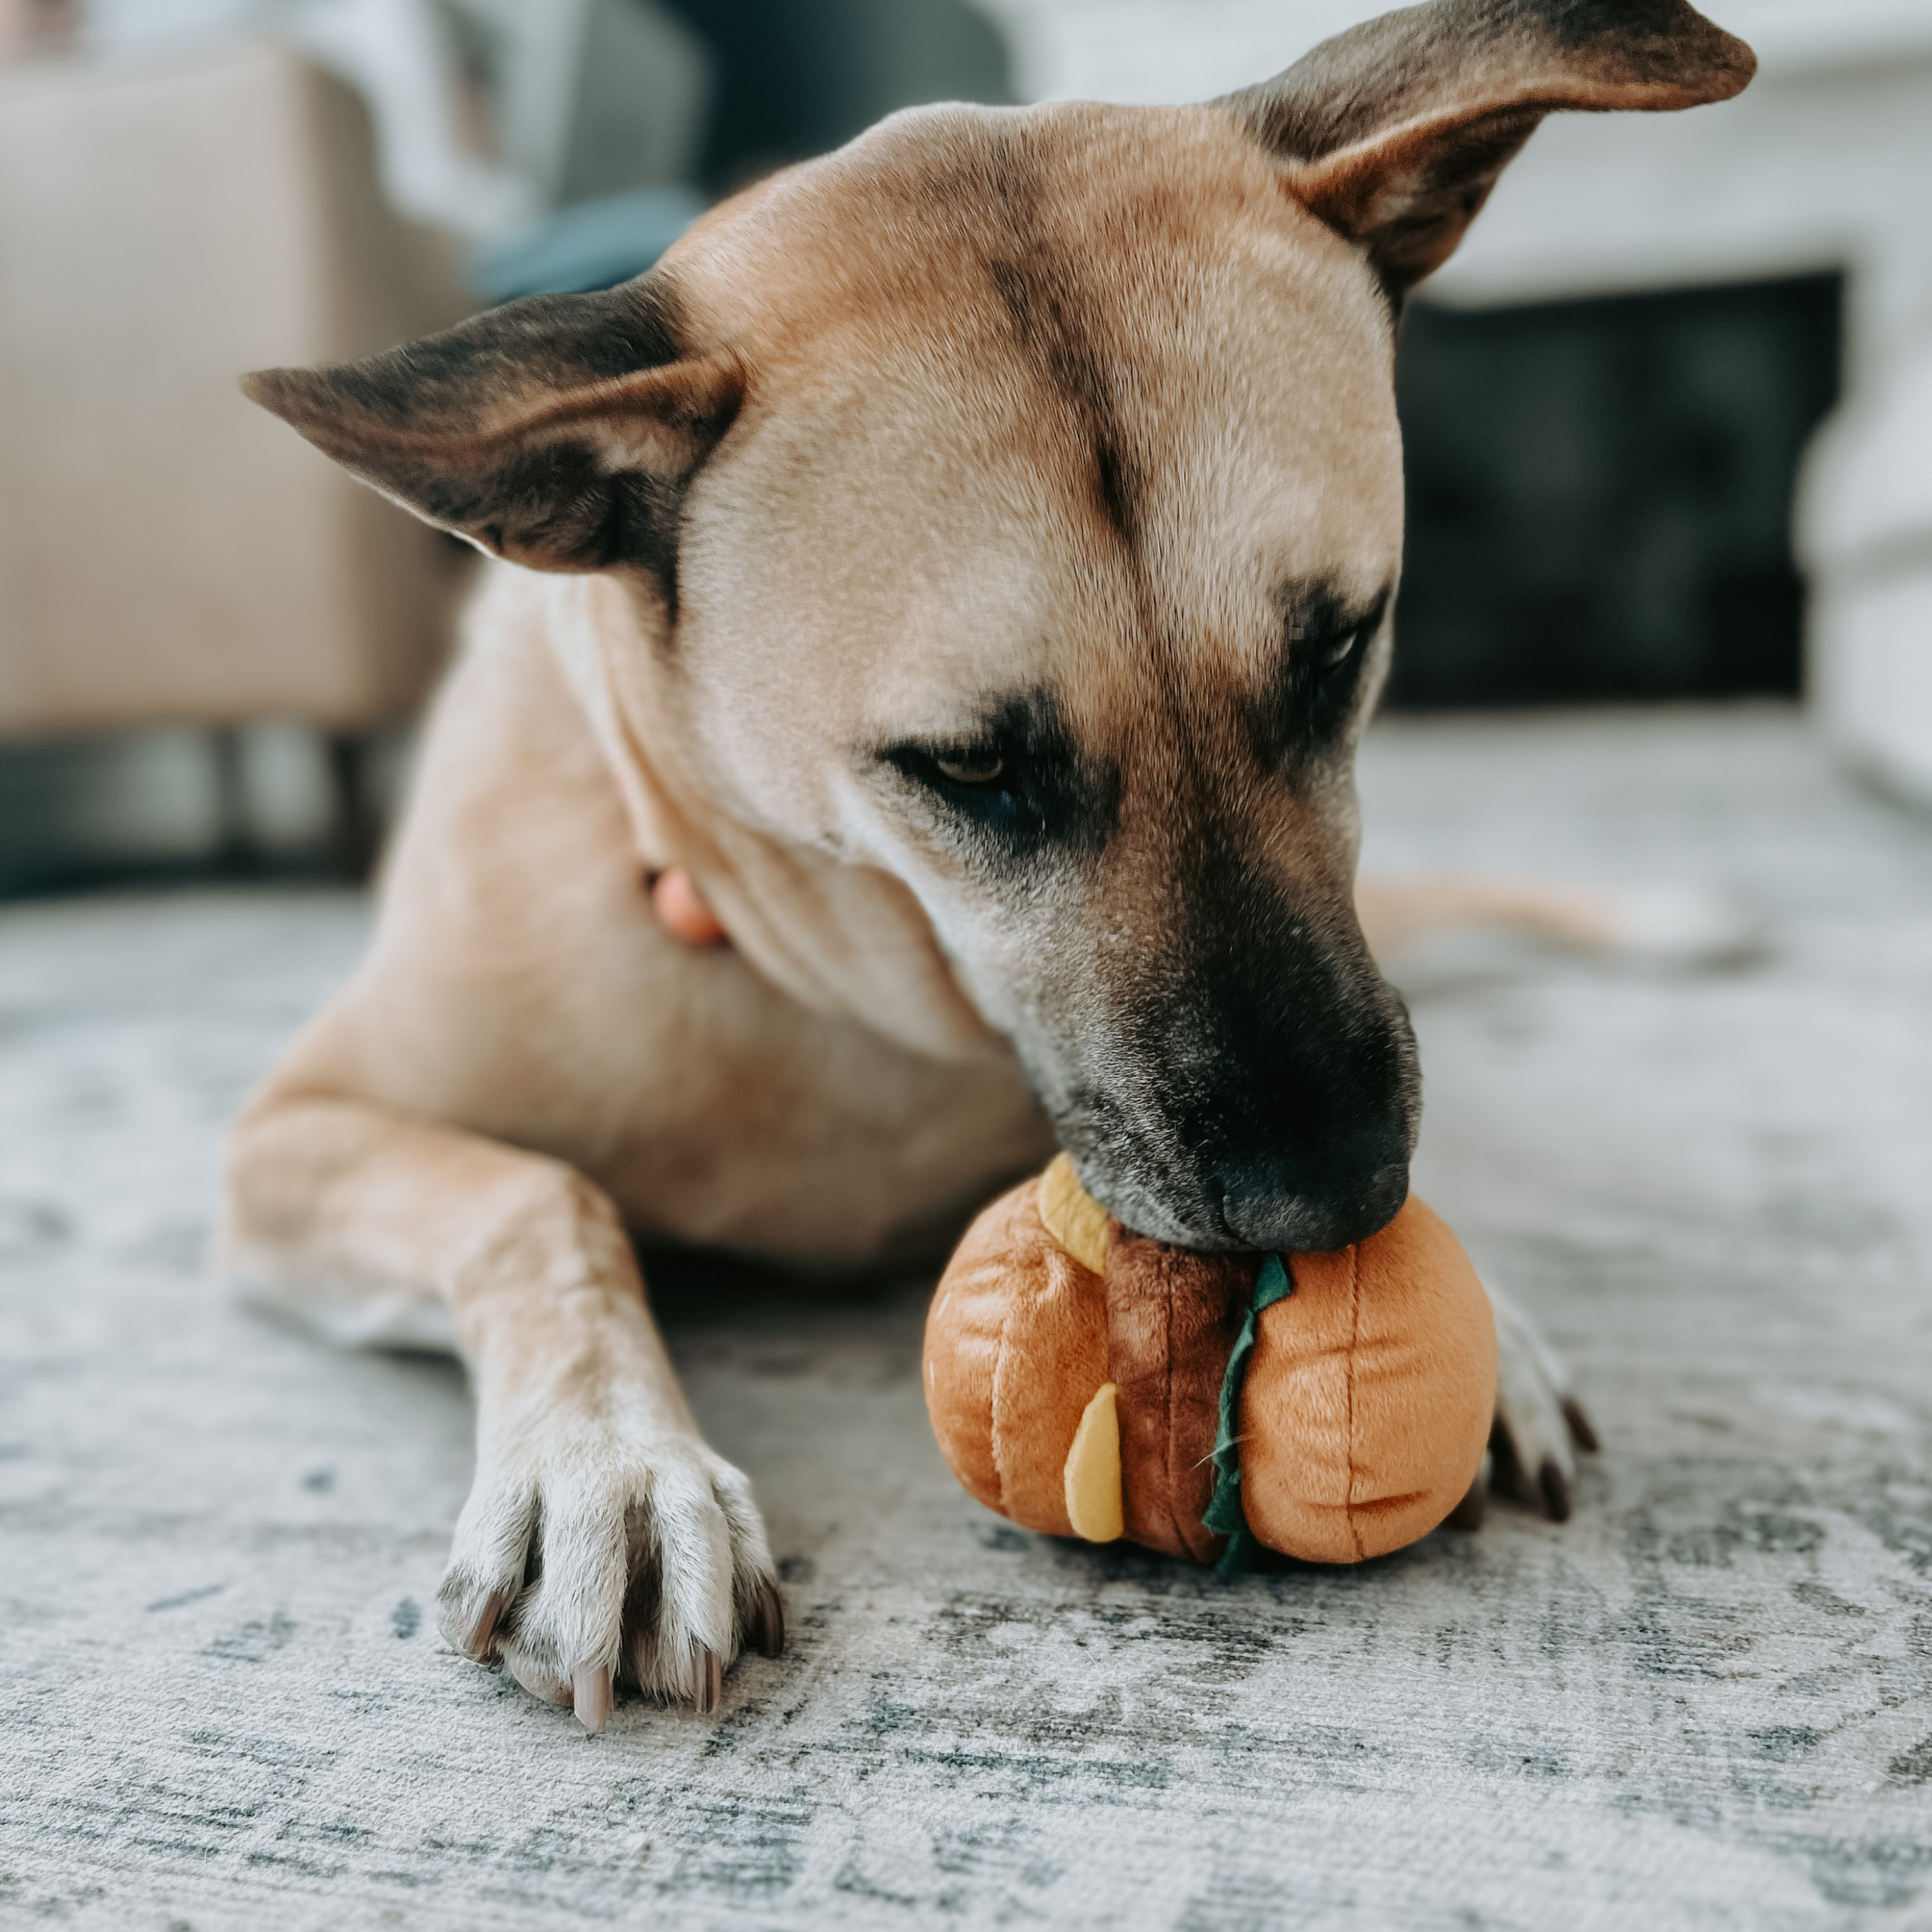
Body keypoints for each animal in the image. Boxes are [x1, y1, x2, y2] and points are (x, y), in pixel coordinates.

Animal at [222, 3, 1754, 1739]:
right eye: (967, 768)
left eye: (1337, 646)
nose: (1343, 1194)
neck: (834, 990)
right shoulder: (292, 1134)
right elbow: (537, 1197)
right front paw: (609, 1464)